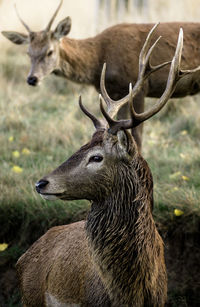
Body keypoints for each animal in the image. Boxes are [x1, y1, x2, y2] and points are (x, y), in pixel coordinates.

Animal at [2, 0, 200, 152]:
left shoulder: (140, 88)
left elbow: (137, 137)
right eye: (28, 53)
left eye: (50, 52)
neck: (100, 57)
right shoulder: (115, 93)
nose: (32, 79)